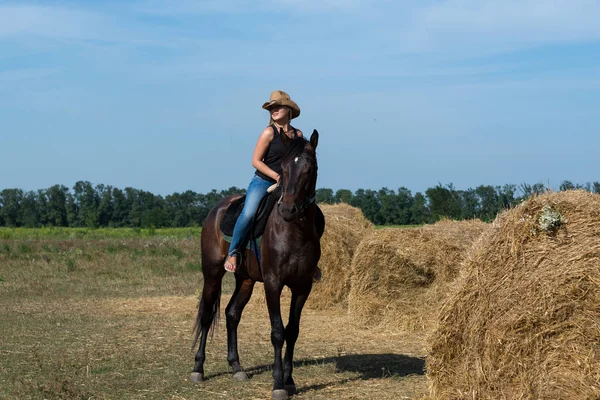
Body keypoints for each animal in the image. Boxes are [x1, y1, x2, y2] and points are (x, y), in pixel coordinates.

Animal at [192, 130, 324, 398]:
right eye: (283, 168)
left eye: (310, 168)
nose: (287, 209)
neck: (294, 232)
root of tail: (216, 209)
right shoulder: (273, 283)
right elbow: (278, 332)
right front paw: (278, 384)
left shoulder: (303, 286)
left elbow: (292, 331)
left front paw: (289, 379)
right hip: (212, 273)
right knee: (207, 316)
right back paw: (198, 369)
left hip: (246, 279)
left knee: (231, 314)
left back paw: (236, 367)